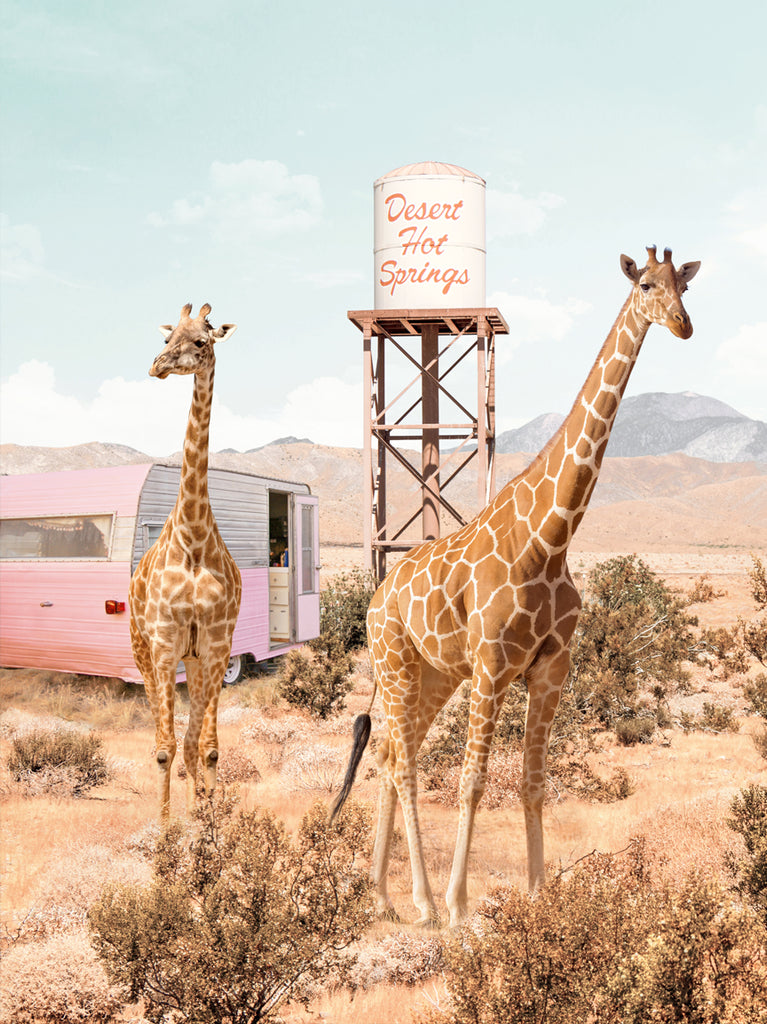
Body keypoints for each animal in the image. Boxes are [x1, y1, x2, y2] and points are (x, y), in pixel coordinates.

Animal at [333, 246, 701, 927]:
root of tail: (373, 600)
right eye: (645, 285)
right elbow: (472, 780)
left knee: (395, 751)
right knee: (405, 762)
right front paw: (459, 906)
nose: (683, 326)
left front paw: (538, 895)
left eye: (683, 287)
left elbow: (532, 779)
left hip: (434, 673)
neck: (552, 539)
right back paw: (424, 902)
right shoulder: (493, 664)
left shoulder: (550, 665)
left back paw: (382, 894)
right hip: (396, 660)